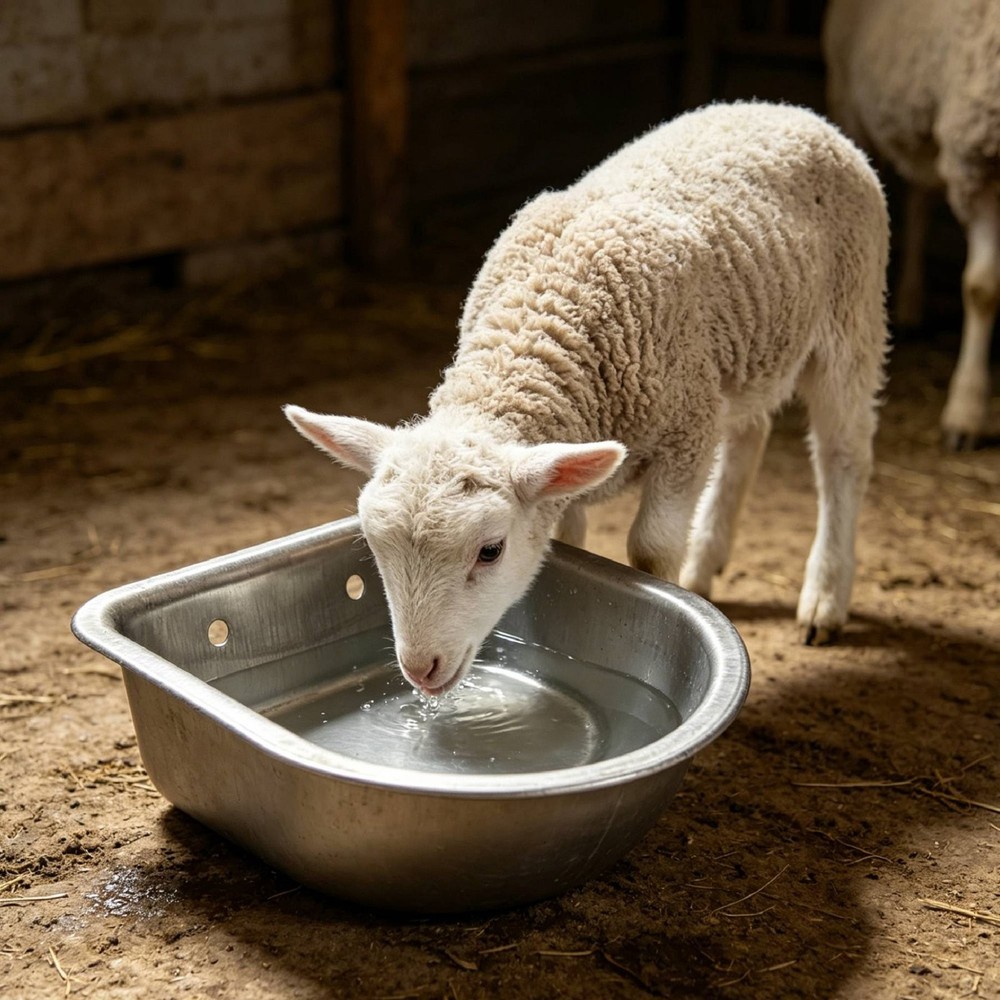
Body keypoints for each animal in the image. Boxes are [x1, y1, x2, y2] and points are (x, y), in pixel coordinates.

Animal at [286, 101, 889, 696]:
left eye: (490, 550)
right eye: (374, 549)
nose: (420, 670)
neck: (542, 327)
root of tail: (784, 108)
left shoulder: (687, 425)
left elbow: (650, 546)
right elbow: (569, 539)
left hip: (850, 316)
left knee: (843, 457)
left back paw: (825, 596)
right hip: (750, 351)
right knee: (749, 432)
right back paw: (707, 561)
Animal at [823, 0, 1000, 450]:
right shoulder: (978, 160)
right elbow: (982, 289)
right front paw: (965, 412)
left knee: (920, 201)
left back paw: (911, 303)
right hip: (849, 100)